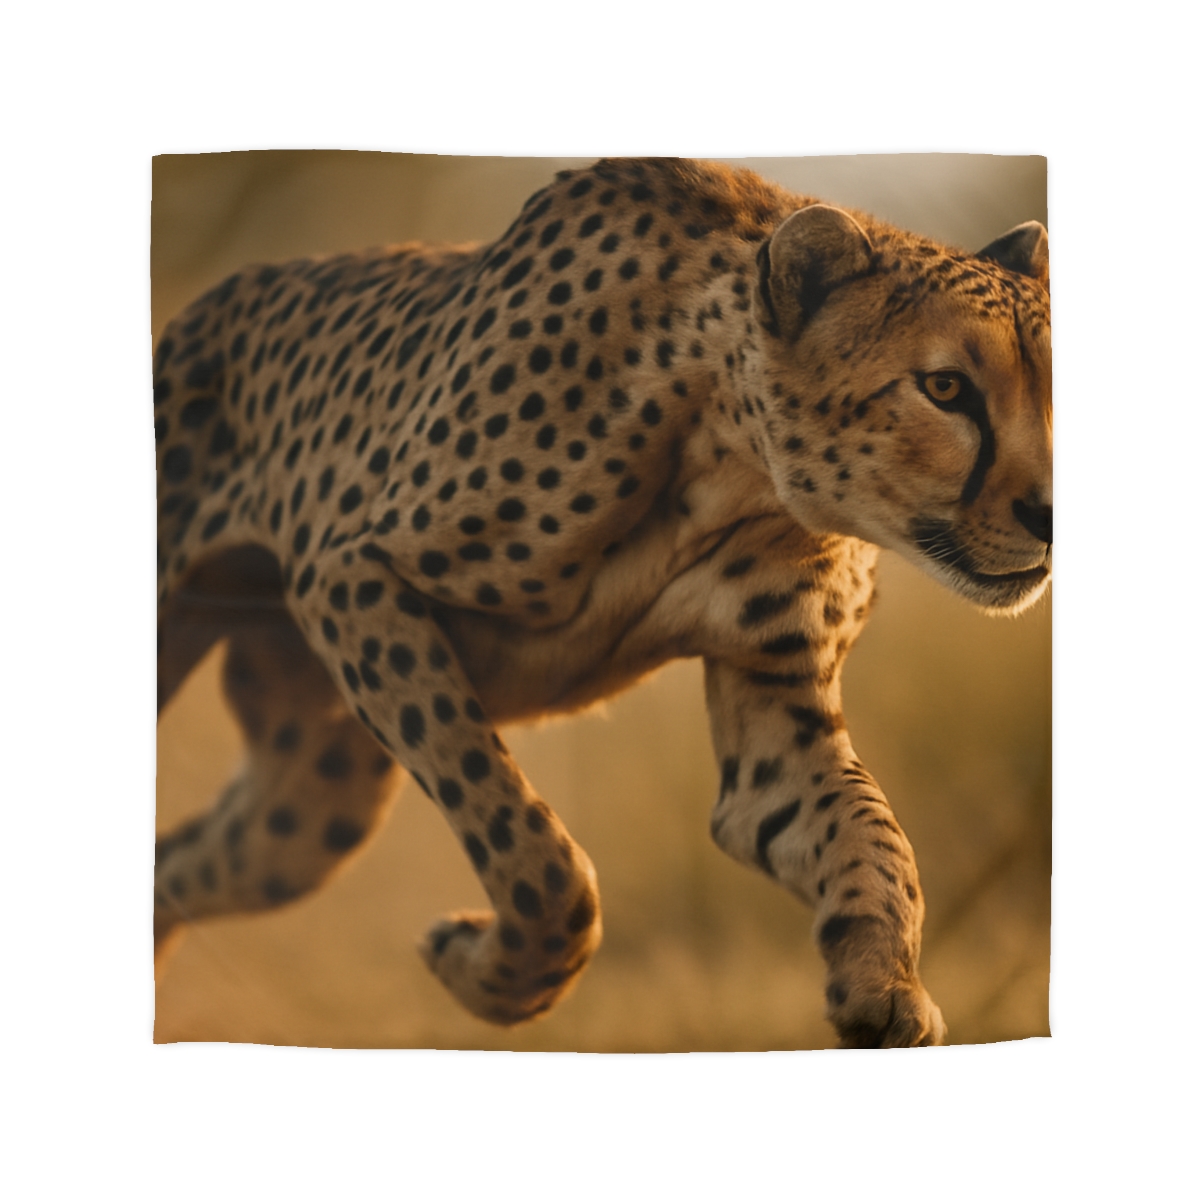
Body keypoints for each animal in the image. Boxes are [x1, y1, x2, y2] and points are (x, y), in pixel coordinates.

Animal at [153, 157, 1051, 1049]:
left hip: (317, 800)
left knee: (177, 861)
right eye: (946, 388)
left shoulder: (775, 704)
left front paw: (884, 985)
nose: (1051, 513)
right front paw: (488, 974)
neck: (730, 455)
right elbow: (535, 850)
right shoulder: (349, 574)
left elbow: (870, 836)